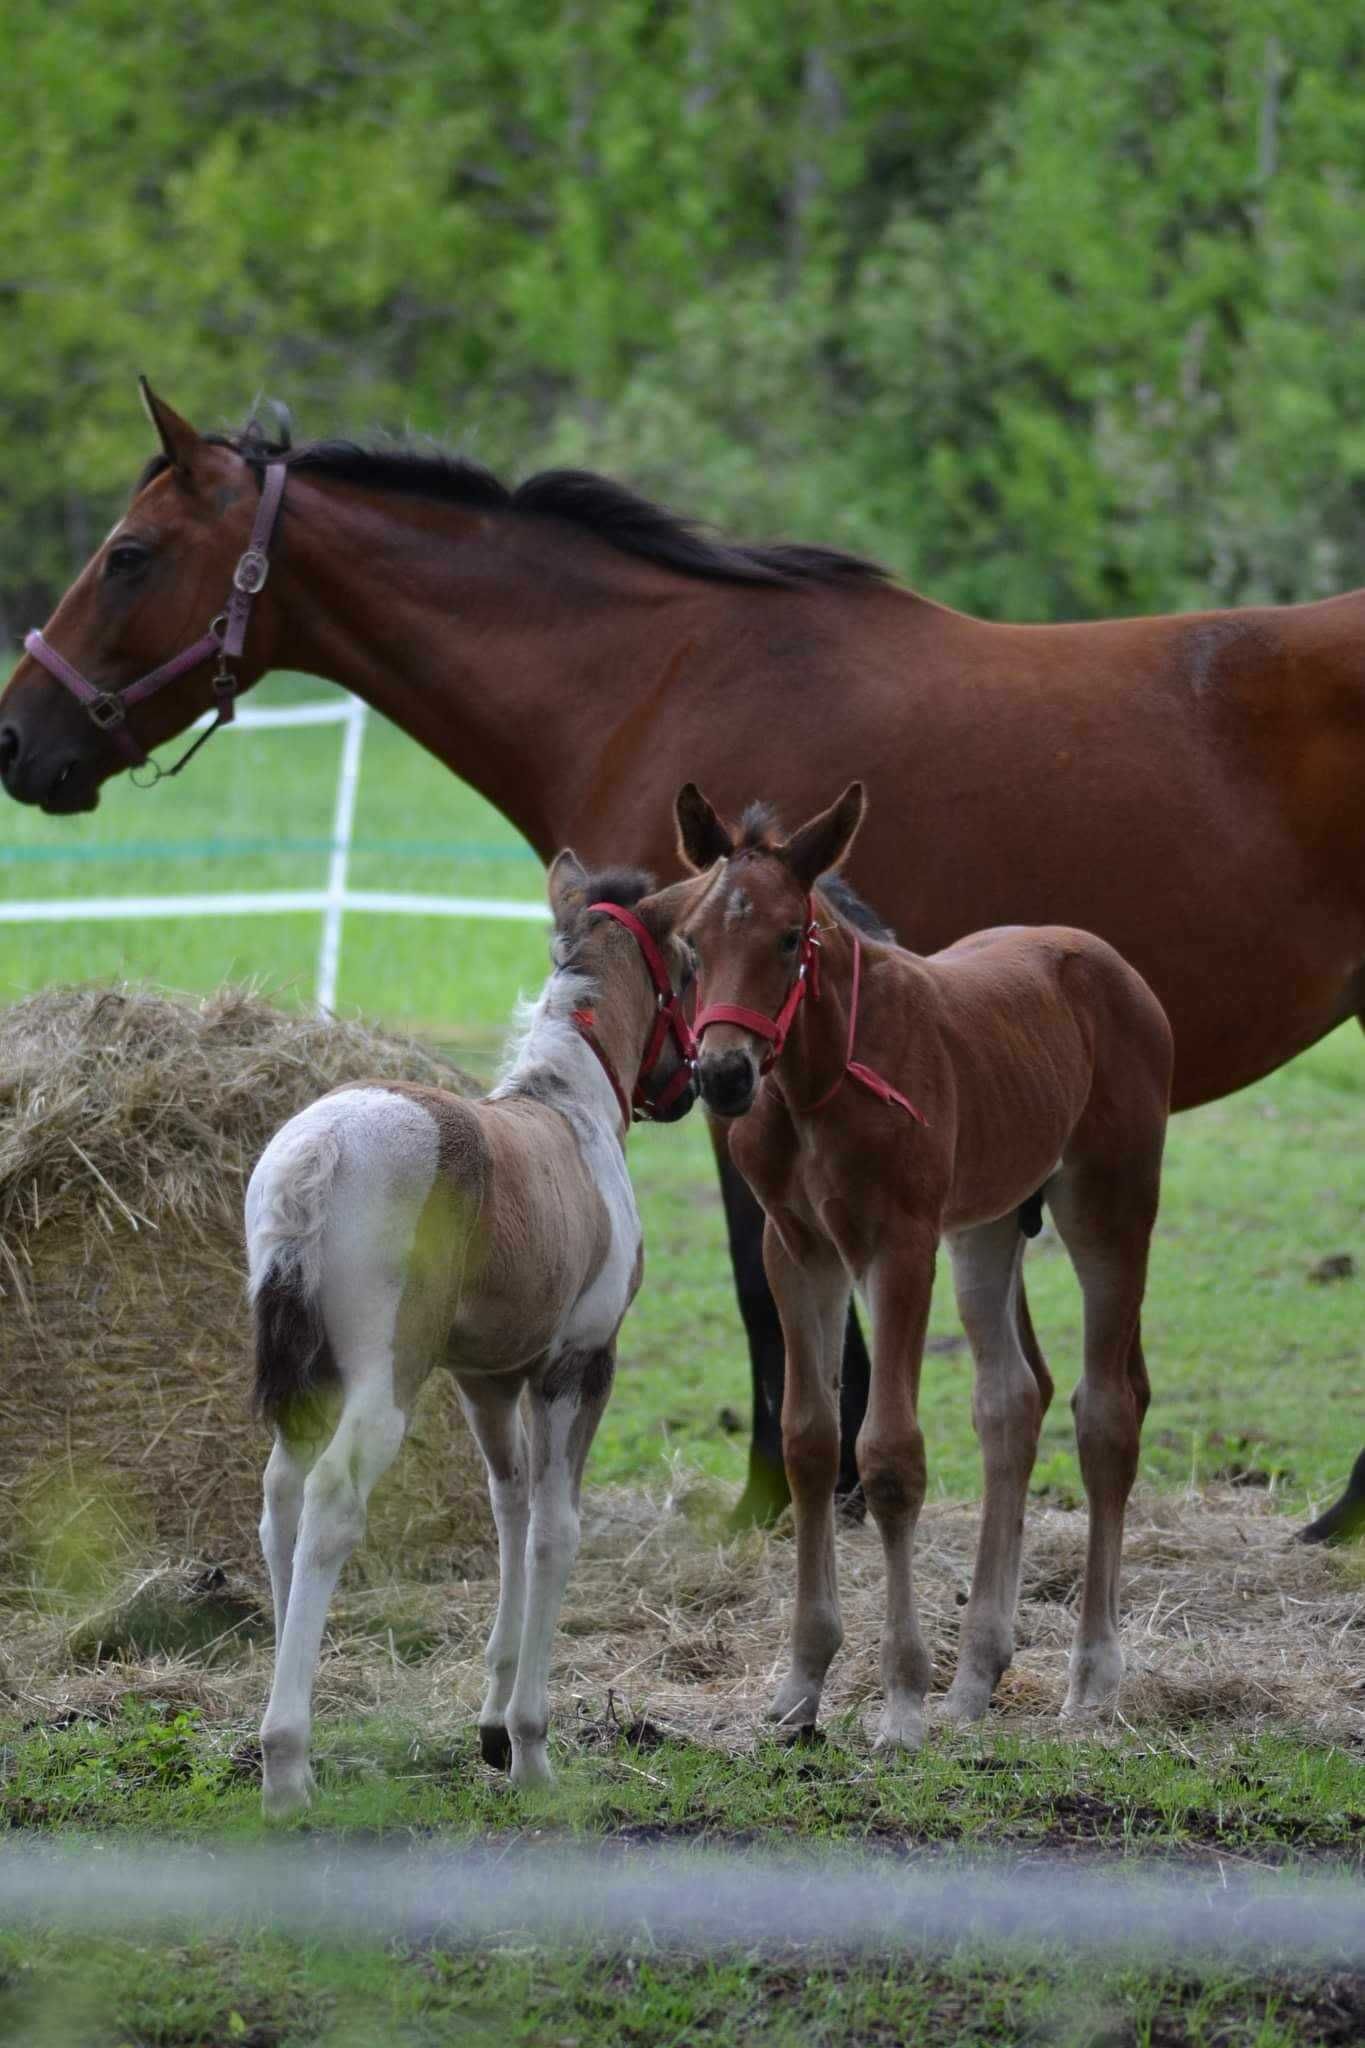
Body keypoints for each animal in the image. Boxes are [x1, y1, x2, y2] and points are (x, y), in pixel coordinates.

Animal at [0, 385, 1358, 1540]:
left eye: (128, 555)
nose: (19, 735)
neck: (649, 679)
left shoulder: (739, 1075)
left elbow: (769, 1290)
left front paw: (783, 1495)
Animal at [244, 856, 695, 1818]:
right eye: (684, 966)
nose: (702, 1080)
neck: (569, 1110)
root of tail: (316, 1152)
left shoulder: (487, 1378)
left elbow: (509, 1511)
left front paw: (490, 1723)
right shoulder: (576, 1367)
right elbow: (556, 1530)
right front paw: (529, 1747)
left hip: (311, 1382)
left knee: (280, 1502)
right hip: (383, 1380)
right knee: (331, 1502)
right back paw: (287, 1764)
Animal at [654, 790, 1170, 1753]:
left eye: (789, 936)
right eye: (690, 941)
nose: (723, 1074)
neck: (817, 1083)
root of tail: (1105, 960)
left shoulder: (897, 1244)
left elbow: (888, 1457)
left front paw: (899, 1701)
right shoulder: (798, 1248)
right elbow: (810, 1442)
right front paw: (801, 1685)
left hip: (1107, 1202)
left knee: (1106, 1410)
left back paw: (1091, 1679)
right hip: (987, 1227)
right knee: (1010, 1401)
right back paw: (975, 1680)